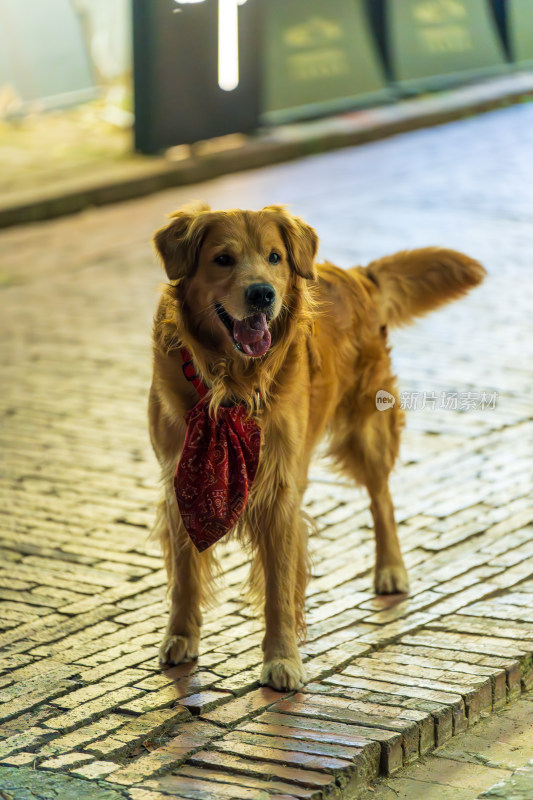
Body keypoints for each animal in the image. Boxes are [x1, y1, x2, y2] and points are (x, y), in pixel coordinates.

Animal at [148, 203, 484, 692]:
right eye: (222, 259)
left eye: (274, 257)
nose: (262, 295)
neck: (230, 383)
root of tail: (357, 274)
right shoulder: (180, 478)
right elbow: (185, 575)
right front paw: (180, 637)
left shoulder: (280, 487)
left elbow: (278, 590)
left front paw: (282, 659)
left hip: (368, 430)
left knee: (382, 499)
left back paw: (391, 569)